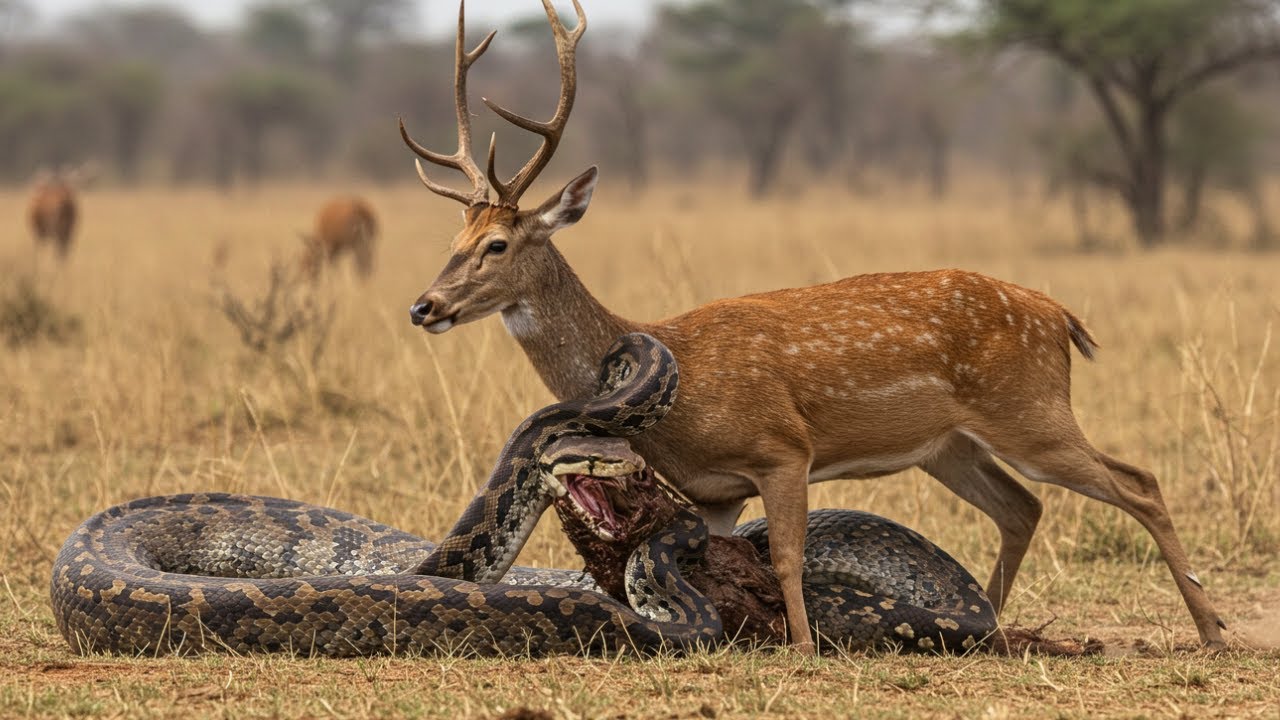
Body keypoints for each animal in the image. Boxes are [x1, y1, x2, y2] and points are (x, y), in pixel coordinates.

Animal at [399, 0, 1227, 653]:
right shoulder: (713, 490)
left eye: (497, 244)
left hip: (1031, 413)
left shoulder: (782, 448)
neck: (679, 387)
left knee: (1139, 482)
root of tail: (1059, 316)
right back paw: (989, 621)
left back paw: (1213, 629)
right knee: (1024, 507)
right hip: (951, 445)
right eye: (453, 239)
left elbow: (789, 556)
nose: (424, 306)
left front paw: (800, 644)